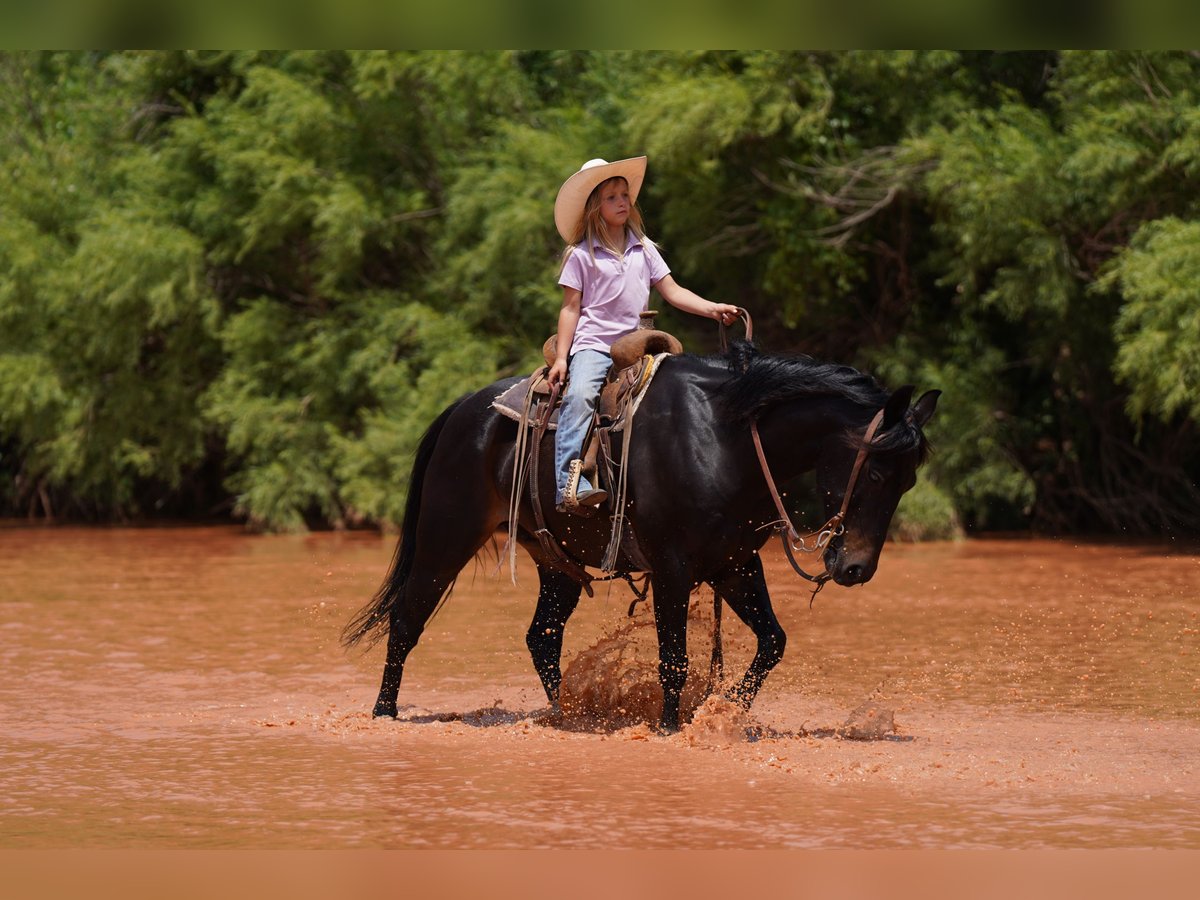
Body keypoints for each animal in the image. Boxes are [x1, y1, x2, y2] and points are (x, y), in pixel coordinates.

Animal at [343, 343, 940, 734]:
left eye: (908, 481)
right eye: (878, 473)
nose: (857, 568)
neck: (726, 438)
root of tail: (463, 410)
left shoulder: (735, 565)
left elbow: (772, 641)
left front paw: (726, 710)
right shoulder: (672, 567)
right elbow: (673, 657)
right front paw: (671, 727)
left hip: (556, 562)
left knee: (542, 638)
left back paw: (571, 716)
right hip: (445, 539)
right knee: (407, 621)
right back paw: (384, 712)